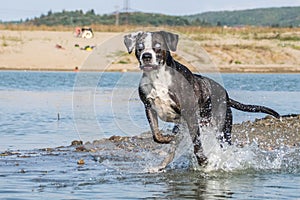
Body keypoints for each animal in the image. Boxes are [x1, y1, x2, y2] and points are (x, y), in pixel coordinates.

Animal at [123, 30, 280, 166]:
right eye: (139, 48)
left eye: (158, 46)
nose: (146, 56)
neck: (158, 77)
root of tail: (226, 95)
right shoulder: (149, 107)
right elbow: (156, 135)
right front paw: (168, 139)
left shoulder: (190, 114)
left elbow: (197, 144)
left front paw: (203, 160)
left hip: (222, 129)